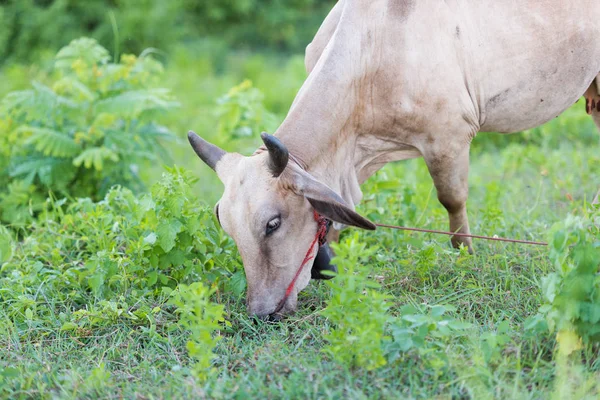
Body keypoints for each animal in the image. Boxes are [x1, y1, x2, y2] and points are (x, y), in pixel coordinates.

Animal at [189, 0, 600, 318]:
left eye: (272, 224)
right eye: (226, 226)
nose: (261, 312)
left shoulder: (447, 139)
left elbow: (452, 202)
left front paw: (466, 257)